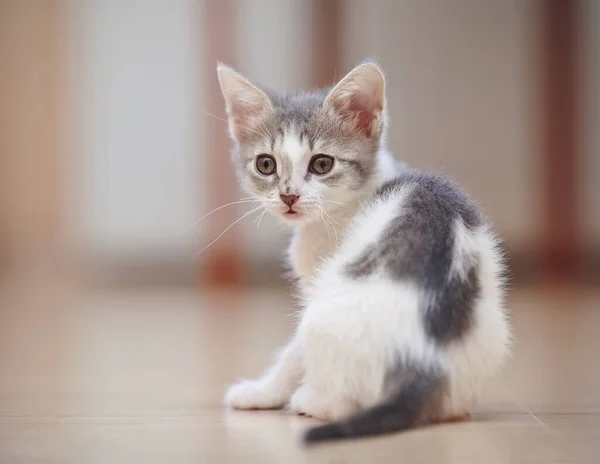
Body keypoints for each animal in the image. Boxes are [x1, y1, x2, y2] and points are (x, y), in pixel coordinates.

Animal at [218, 59, 508, 444]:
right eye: (266, 164)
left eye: (322, 164)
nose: (288, 196)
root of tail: (423, 359)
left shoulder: (317, 285)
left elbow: (292, 354)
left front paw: (261, 392)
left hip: (321, 317)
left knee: (340, 402)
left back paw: (309, 400)